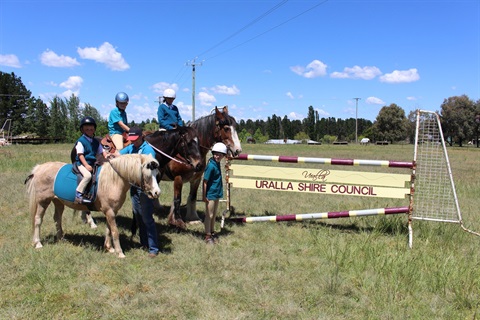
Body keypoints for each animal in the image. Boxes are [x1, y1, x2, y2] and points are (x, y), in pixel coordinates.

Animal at [25, 154, 161, 258]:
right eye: (148, 175)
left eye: (157, 174)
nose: (156, 193)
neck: (113, 180)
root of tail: (39, 168)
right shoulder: (110, 211)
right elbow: (115, 231)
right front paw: (120, 253)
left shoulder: (111, 211)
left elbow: (108, 229)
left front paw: (109, 248)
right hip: (43, 201)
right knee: (38, 220)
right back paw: (38, 243)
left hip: (58, 201)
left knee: (57, 219)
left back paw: (61, 239)